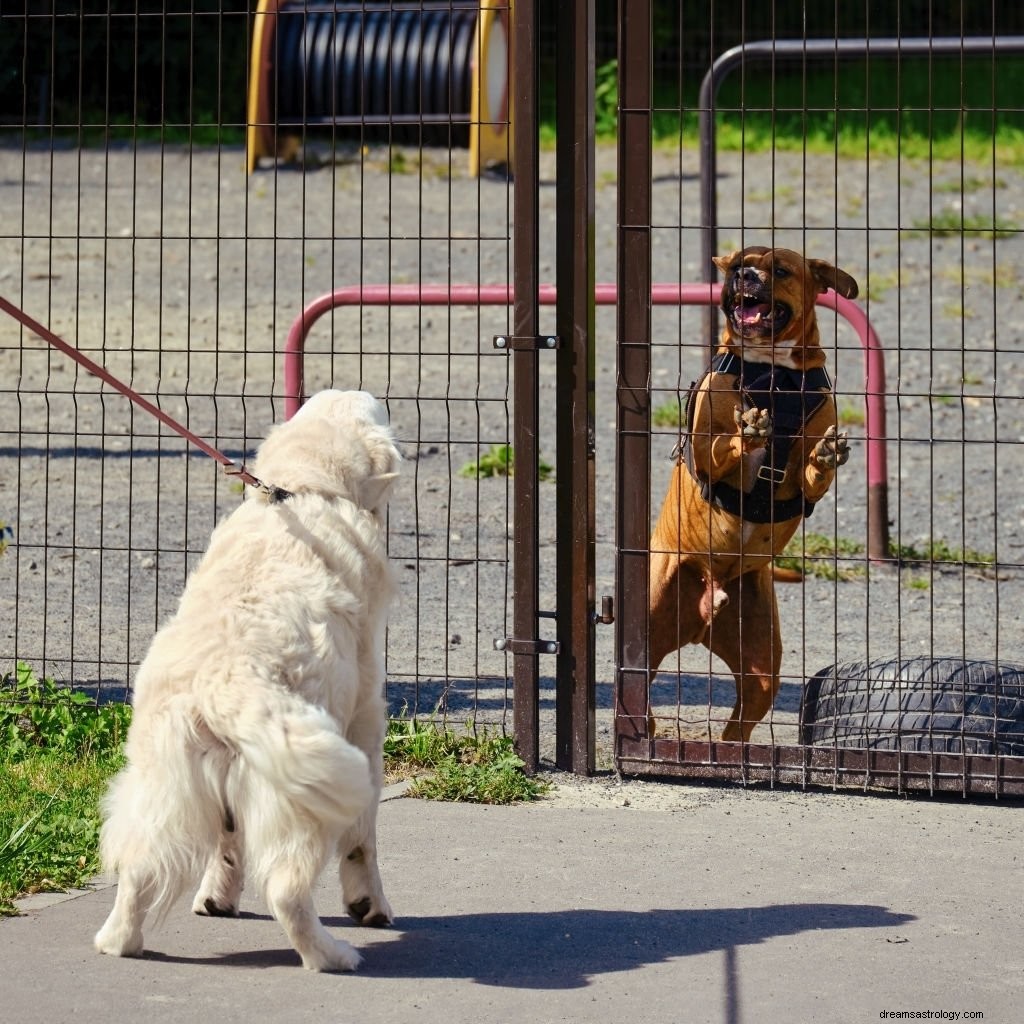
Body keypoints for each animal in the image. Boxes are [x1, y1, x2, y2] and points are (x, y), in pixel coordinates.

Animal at [93, 389, 399, 966]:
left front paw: (217, 898)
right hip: (304, 796)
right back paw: (333, 956)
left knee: (138, 871)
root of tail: (224, 682)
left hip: (164, 785)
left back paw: (120, 940)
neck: (305, 488)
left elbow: (227, 842)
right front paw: (370, 904)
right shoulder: (366, 724)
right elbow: (364, 840)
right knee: (287, 892)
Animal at [651, 247, 860, 745]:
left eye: (780, 270)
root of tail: (705, 609)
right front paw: (747, 430)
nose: (744, 275)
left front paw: (825, 456)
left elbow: (812, 473)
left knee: (739, 724)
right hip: (648, 621)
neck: (772, 371)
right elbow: (719, 446)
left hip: (762, 667)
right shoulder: (706, 446)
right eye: (734, 267)